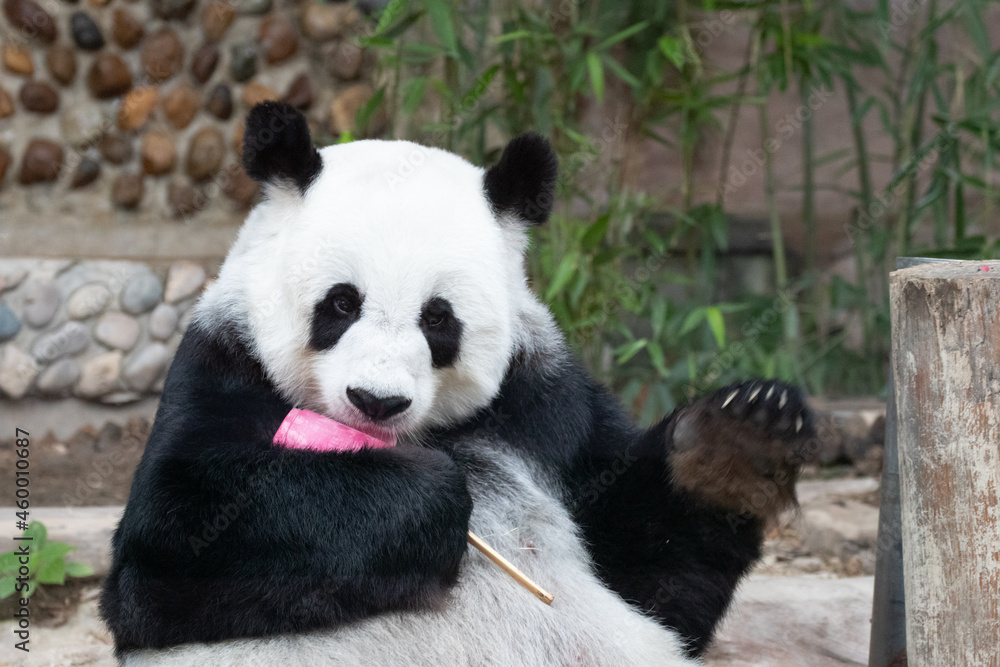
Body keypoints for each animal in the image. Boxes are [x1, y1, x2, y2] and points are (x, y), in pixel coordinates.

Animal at [100, 101, 814, 666]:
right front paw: (428, 496)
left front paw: (737, 441)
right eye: (341, 304)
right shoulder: (220, 365)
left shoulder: (547, 405)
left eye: (438, 318)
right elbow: (170, 544)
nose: (376, 402)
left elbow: (656, 580)